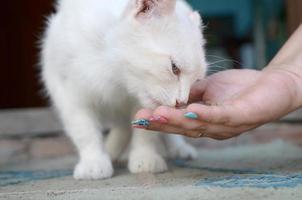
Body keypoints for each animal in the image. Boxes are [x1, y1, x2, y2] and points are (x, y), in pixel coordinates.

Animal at [41, 0, 208, 180]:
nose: (181, 102)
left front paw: (145, 157)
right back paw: (110, 151)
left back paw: (178, 149)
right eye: (174, 68)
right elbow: (84, 130)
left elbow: (146, 131)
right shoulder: (69, 93)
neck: (117, 78)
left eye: (196, 81)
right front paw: (93, 161)